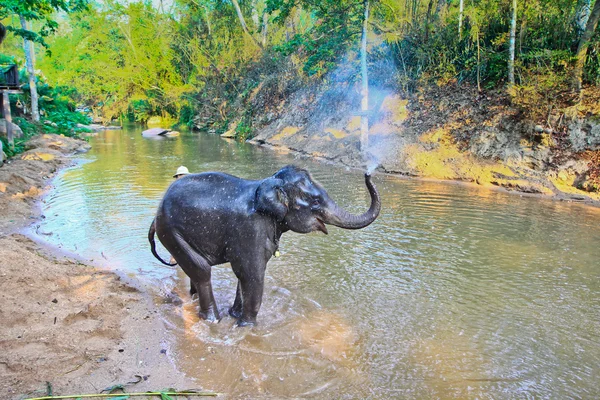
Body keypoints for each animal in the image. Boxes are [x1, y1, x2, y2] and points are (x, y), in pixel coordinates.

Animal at [150, 164, 382, 326]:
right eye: (315, 201)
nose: (367, 174)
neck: (268, 182)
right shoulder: (250, 228)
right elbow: (251, 274)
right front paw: (246, 326)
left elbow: (243, 276)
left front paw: (235, 316)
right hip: (171, 231)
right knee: (202, 271)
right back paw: (212, 320)